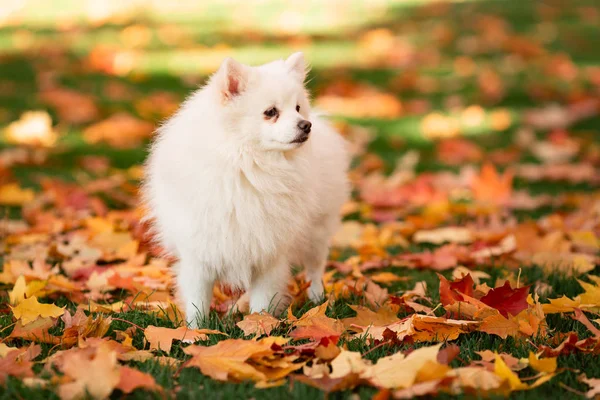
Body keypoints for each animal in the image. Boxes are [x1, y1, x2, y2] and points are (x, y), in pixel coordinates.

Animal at [143, 53, 350, 326]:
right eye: (271, 112)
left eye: (297, 108)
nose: (306, 125)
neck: (249, 167)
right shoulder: (199, 254)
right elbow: (197, 301)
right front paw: (195, 331)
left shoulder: (269, 252)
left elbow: (262, 301)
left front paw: (260, 327)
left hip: (317, 232)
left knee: (314, 267)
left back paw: (317, 298)